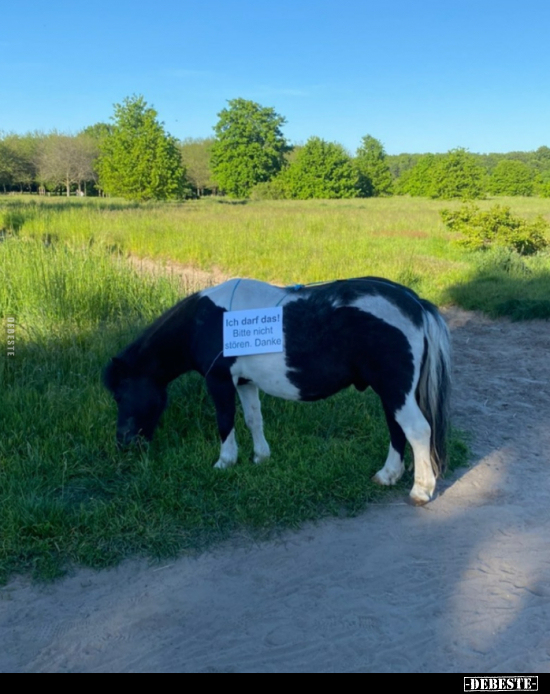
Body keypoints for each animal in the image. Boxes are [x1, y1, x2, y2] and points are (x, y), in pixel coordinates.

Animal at [103, 278, 452, 506]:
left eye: (120, 394)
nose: (123, 443)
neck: (204, 321)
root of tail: (414, 304)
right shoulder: (245, 382)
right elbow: (253, 420)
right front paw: (261, 457)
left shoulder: (219, 380)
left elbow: (225, 422)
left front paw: (225, 462)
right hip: (392, 392)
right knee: (397, 428)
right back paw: (388, 474)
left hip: (395, 389)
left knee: (417, 430)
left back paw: (421, 490)